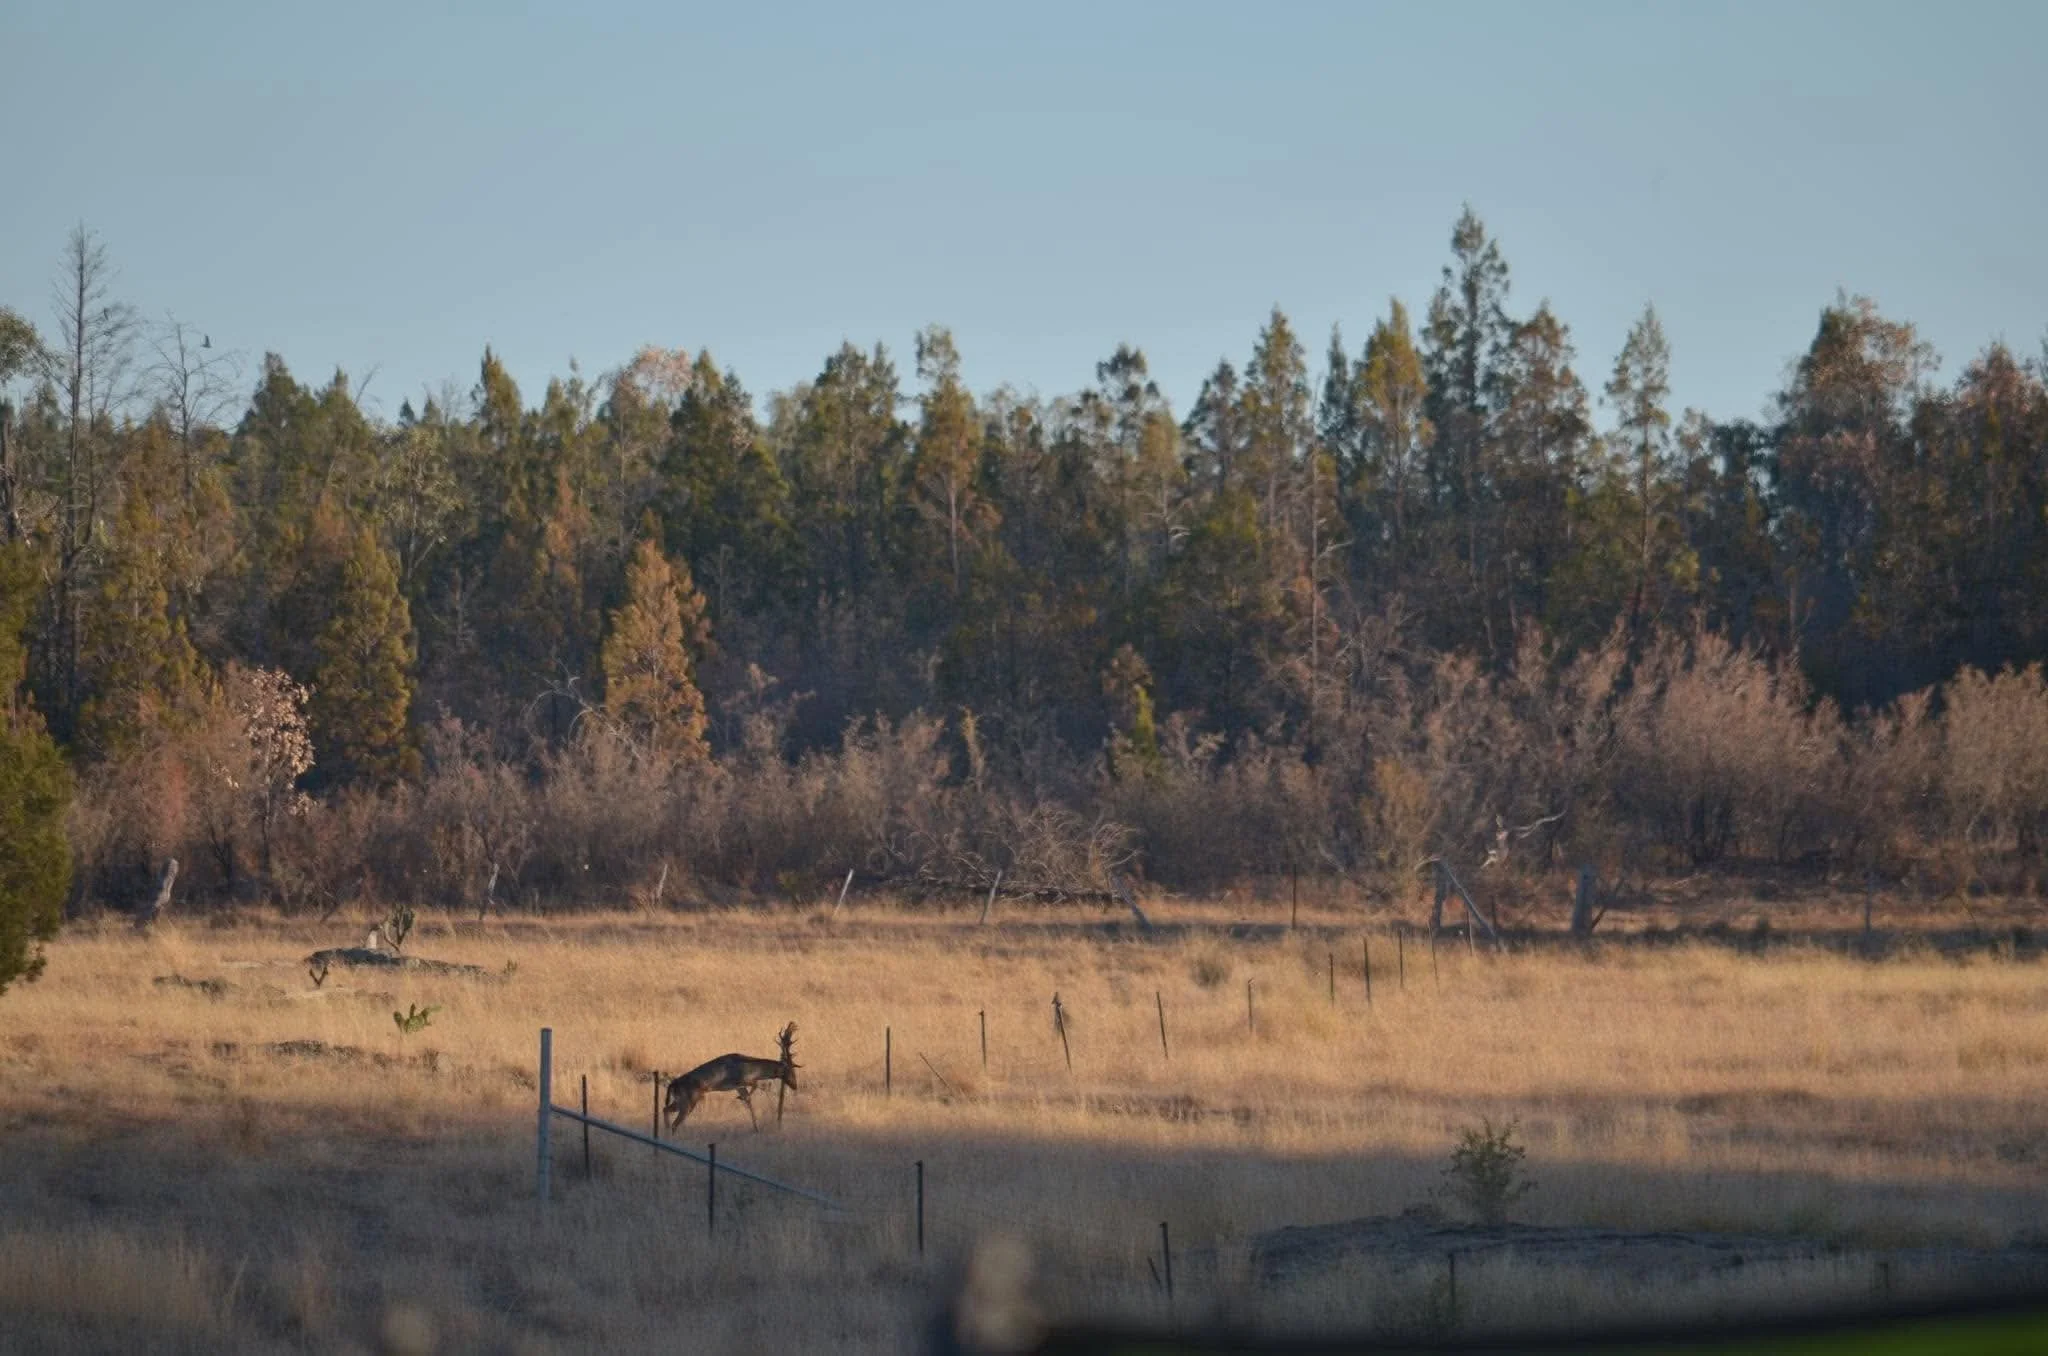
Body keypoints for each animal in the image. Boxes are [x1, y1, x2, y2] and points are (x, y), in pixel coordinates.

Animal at [664, 1022, 798, 1132]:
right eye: (791, 1071)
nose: (795, 1086)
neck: (752, 1068)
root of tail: (673, 1085)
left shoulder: (738, 1086)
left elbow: (749, 1101)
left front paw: (756, 1128)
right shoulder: (739, 1080)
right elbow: (754, 1085)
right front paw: (742, 1099)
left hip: (680, 1100)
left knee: (665, 1109)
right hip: (689, 1100)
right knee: (674, 1123)